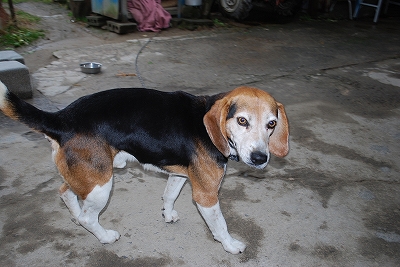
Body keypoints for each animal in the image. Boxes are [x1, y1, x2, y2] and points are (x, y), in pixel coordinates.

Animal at [0, 82, 288, 255]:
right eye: (242, 121)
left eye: (271, 124)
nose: (260, 158)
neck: (209, 123)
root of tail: (61, 117)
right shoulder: (206, 195)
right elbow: (220, 225)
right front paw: (230, 244)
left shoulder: (179, 174)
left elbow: (169, 195)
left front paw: (168, 214)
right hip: (101, 184)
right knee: (88, 217)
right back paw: (104, 236)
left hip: (85, 177)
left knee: (65, 192)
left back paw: (76, 215)